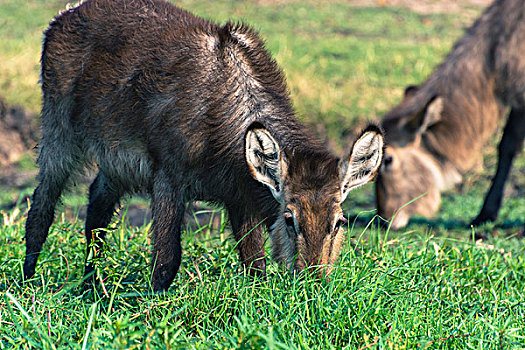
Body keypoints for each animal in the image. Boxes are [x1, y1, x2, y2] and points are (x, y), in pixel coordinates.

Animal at [24, 0, 382, 290]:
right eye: (289, 218)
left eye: (339, 221)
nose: (312, 282)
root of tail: (61, 17)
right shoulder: (168, 176)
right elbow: (166, 260)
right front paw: (154, 309)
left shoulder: (240, 195)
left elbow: (255, 266)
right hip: (59, 129)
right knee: (41, 205)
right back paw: (28, 282)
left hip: (115, 163)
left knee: (96, 203)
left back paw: (91, 284)